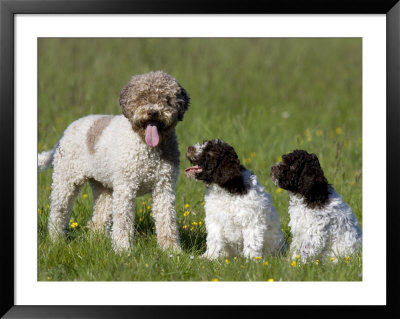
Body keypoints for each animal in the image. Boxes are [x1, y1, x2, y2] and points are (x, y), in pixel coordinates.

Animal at [38, 70, 190, 252]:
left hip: (103, 186)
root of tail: (65, 132)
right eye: (141, 98)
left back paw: (96, 242)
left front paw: (171, 250)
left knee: (98, 219)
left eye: (167, 99)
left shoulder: (163, 186)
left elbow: (167, 219)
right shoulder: (126, 187)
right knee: (58, 212)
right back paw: (56, 240)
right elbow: (123, 221)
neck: (147, 147)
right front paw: (123, 250)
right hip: (66, 180)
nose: (152, 112)